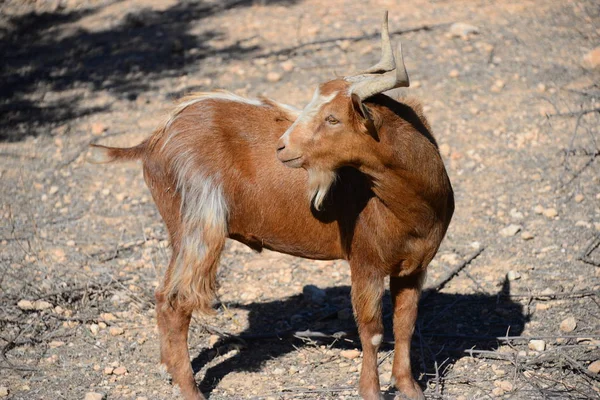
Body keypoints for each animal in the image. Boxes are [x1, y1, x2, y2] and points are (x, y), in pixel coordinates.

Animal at [89, 12, 452, 400]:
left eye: (333, 118)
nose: (283, 147)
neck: (413, 204)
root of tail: (154, 139)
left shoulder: (414, 267)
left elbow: (405, 325)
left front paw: (410, 388)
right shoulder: (365, 264)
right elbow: (372, 332)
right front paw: (371, 392)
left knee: (161, 296)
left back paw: (167, 369)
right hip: (196, 224)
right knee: (176, 299)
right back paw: (190, 389)